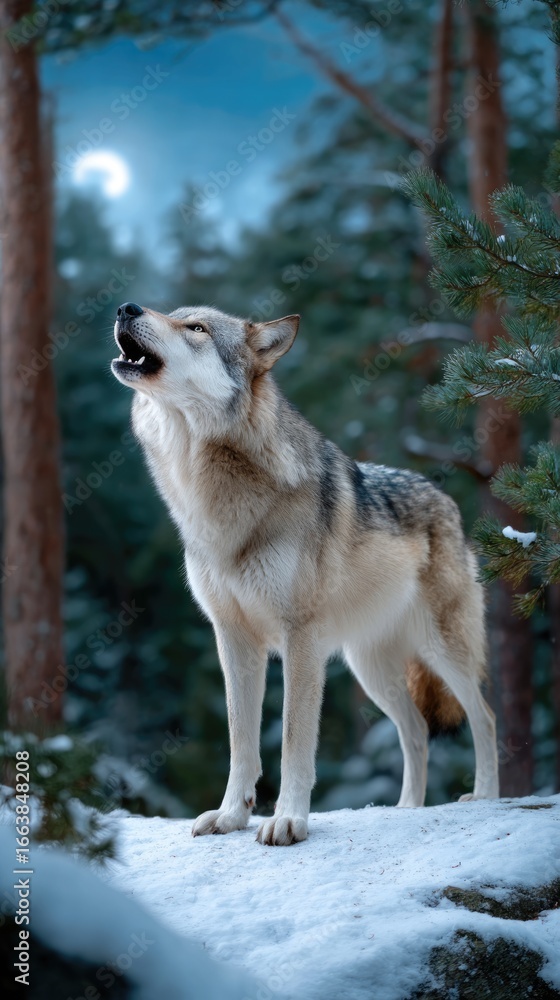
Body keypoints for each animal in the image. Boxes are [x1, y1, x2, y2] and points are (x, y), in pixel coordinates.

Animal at [111, 301, 499, 846]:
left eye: (197, 328)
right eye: (174, 315)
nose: (127, 307)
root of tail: (444, 497)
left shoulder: (301, 641)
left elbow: (294, 741)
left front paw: (289, 820)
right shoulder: (233, 640)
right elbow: (240, 742)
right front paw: (231, 817)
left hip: (443, 650)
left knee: (484, 717)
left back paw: (484, 796)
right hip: (370, 670)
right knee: (417, 731)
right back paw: (406, 809)